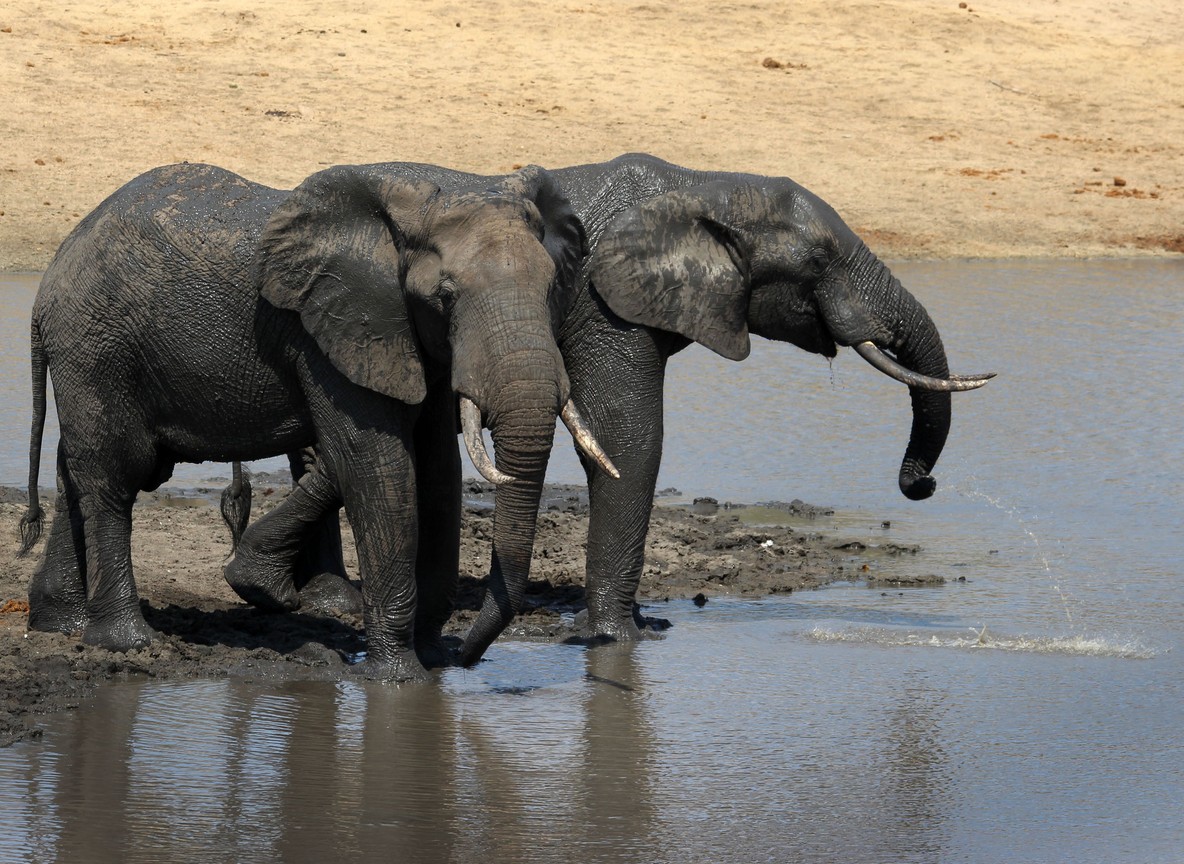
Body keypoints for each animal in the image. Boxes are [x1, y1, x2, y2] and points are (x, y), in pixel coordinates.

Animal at [17, 160, 617, 681]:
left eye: (551, 287)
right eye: (445, 296)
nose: (466, 658)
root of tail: (45, 289)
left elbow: (438, 473)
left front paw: (430, 661)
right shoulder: (334, 329)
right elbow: (376, 468)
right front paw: (400, 679)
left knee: (79, 473)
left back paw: (59, 624)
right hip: (95, 346)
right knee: (115, 477)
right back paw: (127, 642)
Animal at [219, 153, 993, 666]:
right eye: (821, 261)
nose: (919, 483)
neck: (701, 186)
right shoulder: (603, 307)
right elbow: (632, 440)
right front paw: (622, 638)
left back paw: (318, 594)